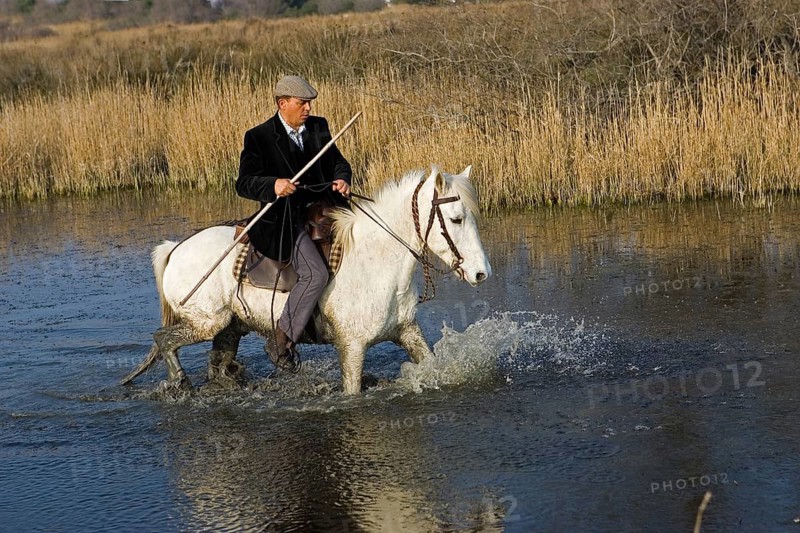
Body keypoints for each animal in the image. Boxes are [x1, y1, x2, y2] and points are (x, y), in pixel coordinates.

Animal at [121, 166, 492, 395]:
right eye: (456, 219)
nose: (481, 273)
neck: (377, 259)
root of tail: (175, 248)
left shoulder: (407, 332)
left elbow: (431, 364)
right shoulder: (352, 347)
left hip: (228, 329)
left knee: (216, 367)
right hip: (205, 322)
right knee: (164, 339)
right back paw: (179, 382)